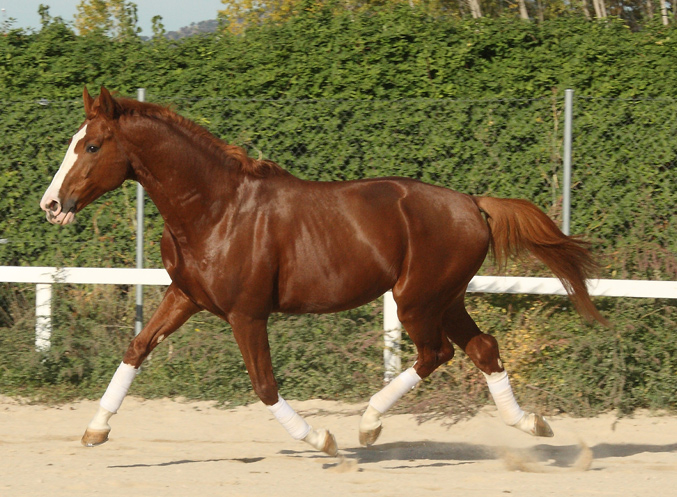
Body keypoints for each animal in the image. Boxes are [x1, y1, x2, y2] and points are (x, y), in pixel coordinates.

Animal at [40, 87, 608, 457]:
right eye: (73, 140)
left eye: (92, 145)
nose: (51, 205)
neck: (216, 210)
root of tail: (472, 203)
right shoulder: (185, 297)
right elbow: (136, 348)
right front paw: (94, 430)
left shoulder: (247, 314)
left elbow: (264, 385)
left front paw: (321, 438)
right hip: (444, 298)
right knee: (483, 348)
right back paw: (531, 423)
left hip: (417, 299)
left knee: (436, 354)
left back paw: (368, 425)